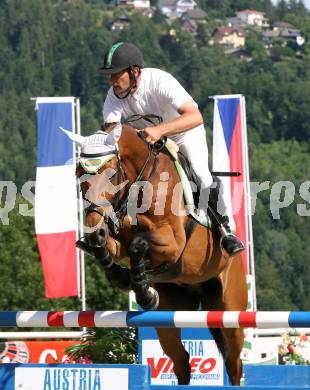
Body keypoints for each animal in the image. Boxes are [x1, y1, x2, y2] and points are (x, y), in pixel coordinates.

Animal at [61, 122, 248, 386]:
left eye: (111, 173)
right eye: (79, 174)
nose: (95, 227)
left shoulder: (173, 243)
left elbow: (138, 243)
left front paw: (142, 288)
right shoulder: (116, 238)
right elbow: (107, 247)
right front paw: (128, 280)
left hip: (230, 311)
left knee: (234, 362)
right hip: (170, 315)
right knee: (181, 361)